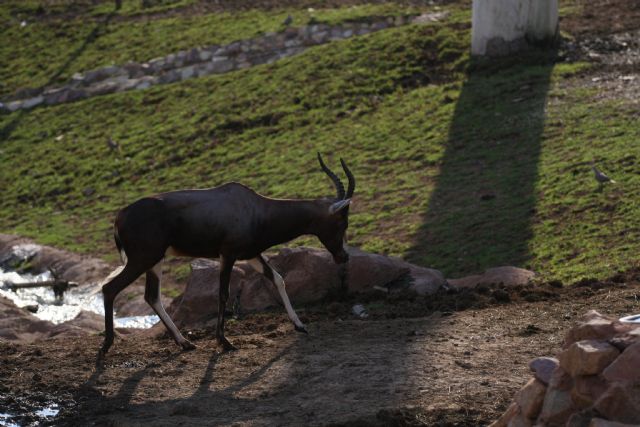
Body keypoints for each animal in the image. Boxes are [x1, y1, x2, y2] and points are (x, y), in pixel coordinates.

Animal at [99, 153, 356, 354]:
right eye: (342, 222)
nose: (344, 257)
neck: (253, 207)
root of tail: (120, 216)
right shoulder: (228, 255)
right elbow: (223, 293)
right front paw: (225, 342)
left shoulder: (251, 255)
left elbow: (279, 279)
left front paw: (300, 325)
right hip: (142, 259)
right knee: (110, 288)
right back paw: (107, 345)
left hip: (155, 261)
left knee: (151, 296)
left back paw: (185, 343)